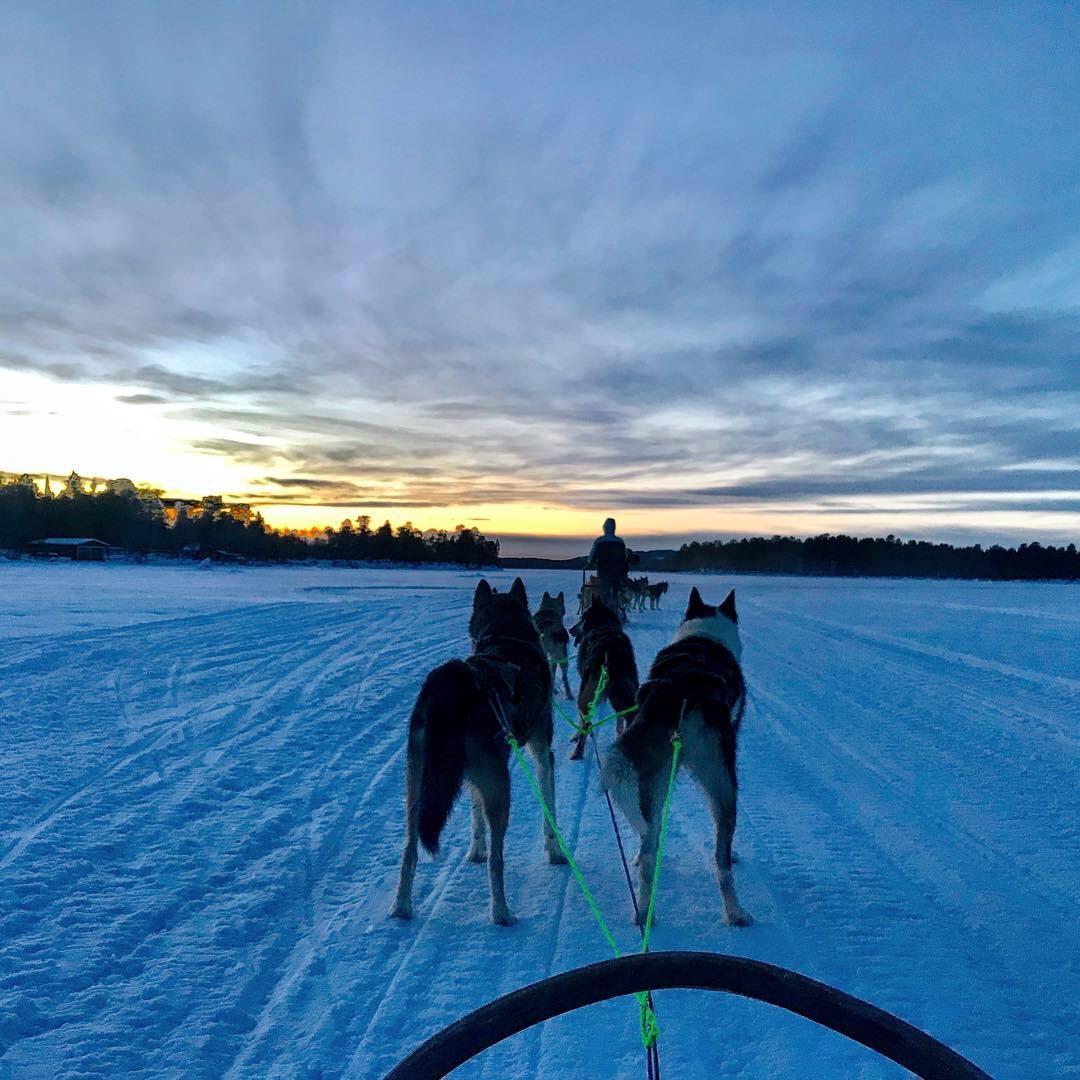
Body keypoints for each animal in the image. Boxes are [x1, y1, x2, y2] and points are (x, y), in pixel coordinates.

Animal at [390, 578, 565, 924]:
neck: (504, 636)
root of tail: (451, 686)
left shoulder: (475, 780)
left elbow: (475, 817)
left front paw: (474, 851)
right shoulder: (543, 753)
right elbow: (548, 808)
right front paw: (554, 852)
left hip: (417, 787)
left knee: (409, 848)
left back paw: (401, 907)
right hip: (501, 786)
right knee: (498, 860)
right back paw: (501, 912)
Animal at [565, 600, 639, 760]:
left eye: (581, 618)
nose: (570, 629)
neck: (602, 625)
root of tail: (609, 651)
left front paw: (575, 735)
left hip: (585, 697)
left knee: (585, 723)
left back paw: (577, 752)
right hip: (627, 694)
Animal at [600, 587, 751, 924]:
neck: (704, 636)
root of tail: (682, 694)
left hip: (650, 783)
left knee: (647, 847)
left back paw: (644, 911)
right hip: (723, 784)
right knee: (721, 860)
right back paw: (735, 911)